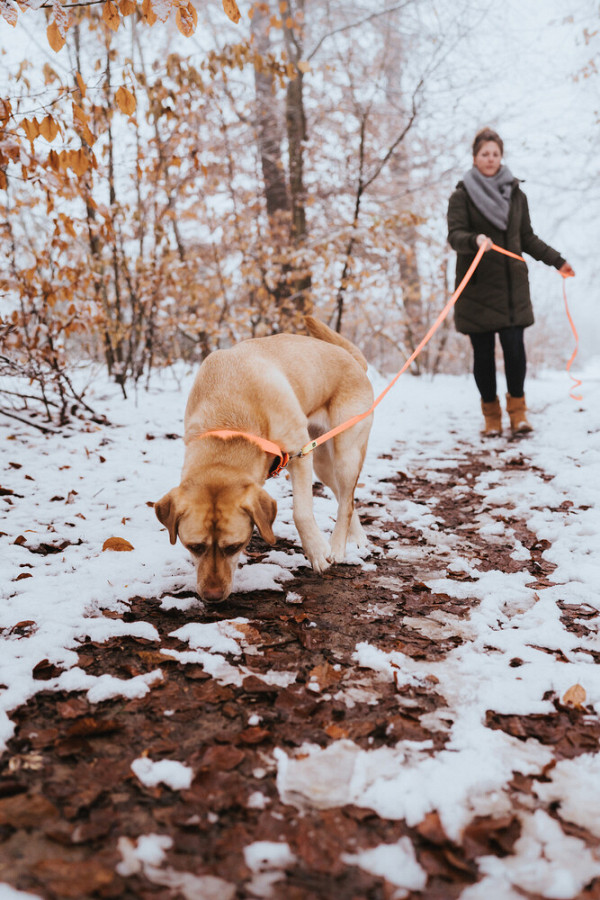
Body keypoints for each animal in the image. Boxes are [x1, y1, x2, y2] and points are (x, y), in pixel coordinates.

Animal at [154, 316, 370, 604]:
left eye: (235, 546)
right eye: (194, 546)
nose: (212, 596)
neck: (230, 419)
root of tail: (353, 360)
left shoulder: (299, 454)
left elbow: (301, 512)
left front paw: (317, 553)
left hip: (344, 453)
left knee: (345, 502)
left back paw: (336, 548)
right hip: (323, 463)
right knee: (347, 499)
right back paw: (357, 538)